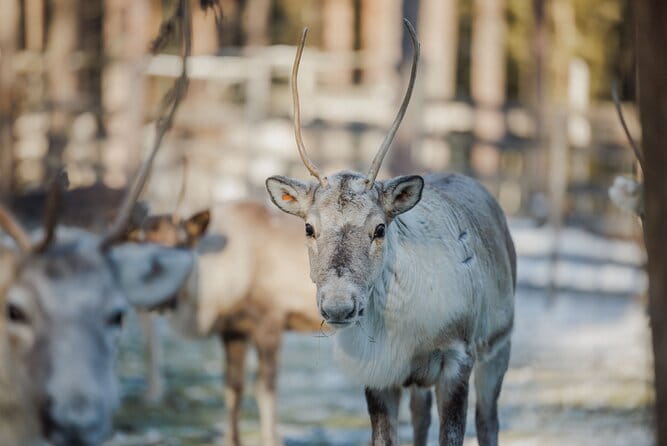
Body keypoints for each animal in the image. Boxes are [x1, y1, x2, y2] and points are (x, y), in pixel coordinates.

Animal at [125, 199, 322, 446]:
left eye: (181, 244)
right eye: (142, 246)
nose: (157, 300)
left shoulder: (269, 321)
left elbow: (264, 389)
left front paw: (272, 440)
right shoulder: (234, 329)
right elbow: (233, 388)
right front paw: (232, 440)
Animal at [264, 20, 516, 446]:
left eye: (379, 227)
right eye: (309, 227)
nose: (339, 306)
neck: (408, 334)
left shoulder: (459, 359)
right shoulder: (379, 374)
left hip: (500, 345)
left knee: (488, 421)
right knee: (421, 419)